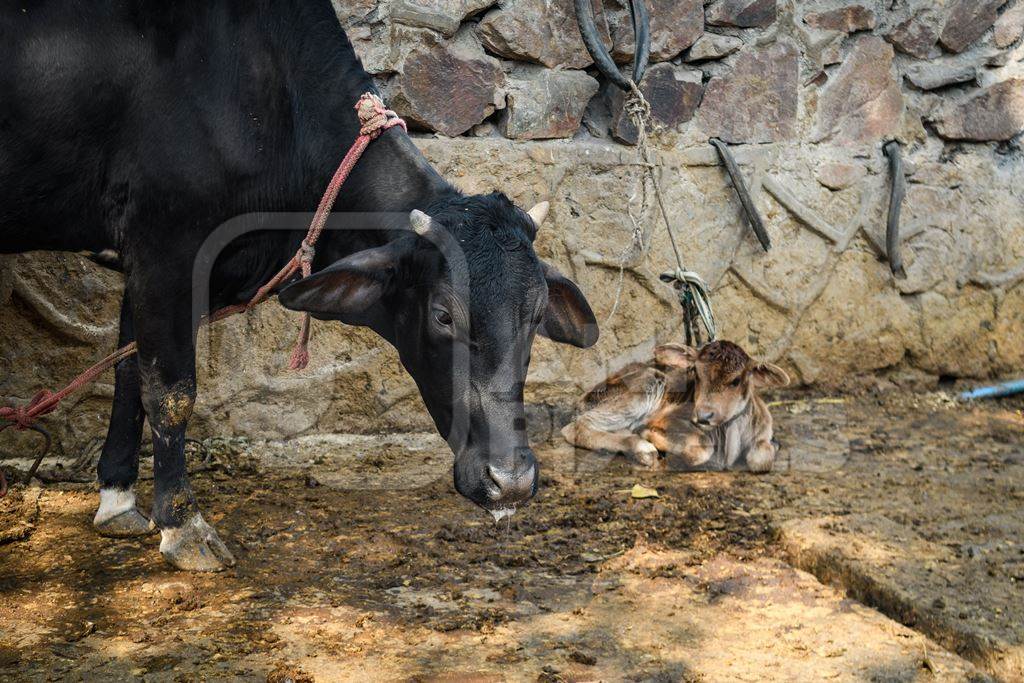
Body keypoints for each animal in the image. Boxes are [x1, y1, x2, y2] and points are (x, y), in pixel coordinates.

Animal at [0, 1, 598, 573]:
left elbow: (128, 374)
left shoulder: (146, 266)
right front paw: (184, 526)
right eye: (444, 315)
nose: (511, 481)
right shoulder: (166, 247)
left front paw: (118, 498)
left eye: (535, 315)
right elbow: (170, 391)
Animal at [565, 339, 786, 473]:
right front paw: (648, 434)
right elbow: (702, 448)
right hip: (645, 384)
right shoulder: (668, 419)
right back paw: (643, 448)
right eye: (696, 373)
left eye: (736, 380)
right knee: (576, 427)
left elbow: (761, 460)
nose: (703, 416)